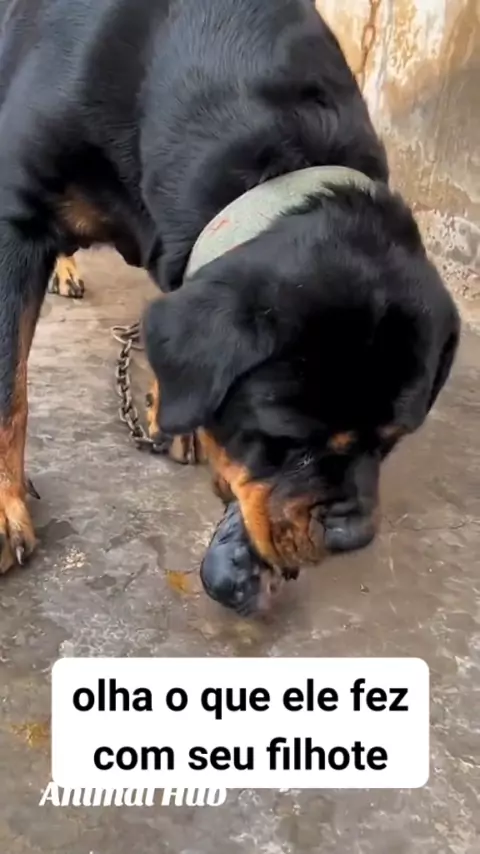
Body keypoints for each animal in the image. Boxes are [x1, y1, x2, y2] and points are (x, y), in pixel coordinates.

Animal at [0, 0, 459, 605]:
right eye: (287, 443)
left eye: (392, 441)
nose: (353, 537)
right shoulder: (15, 219)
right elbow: (8, 384)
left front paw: (169, 410)